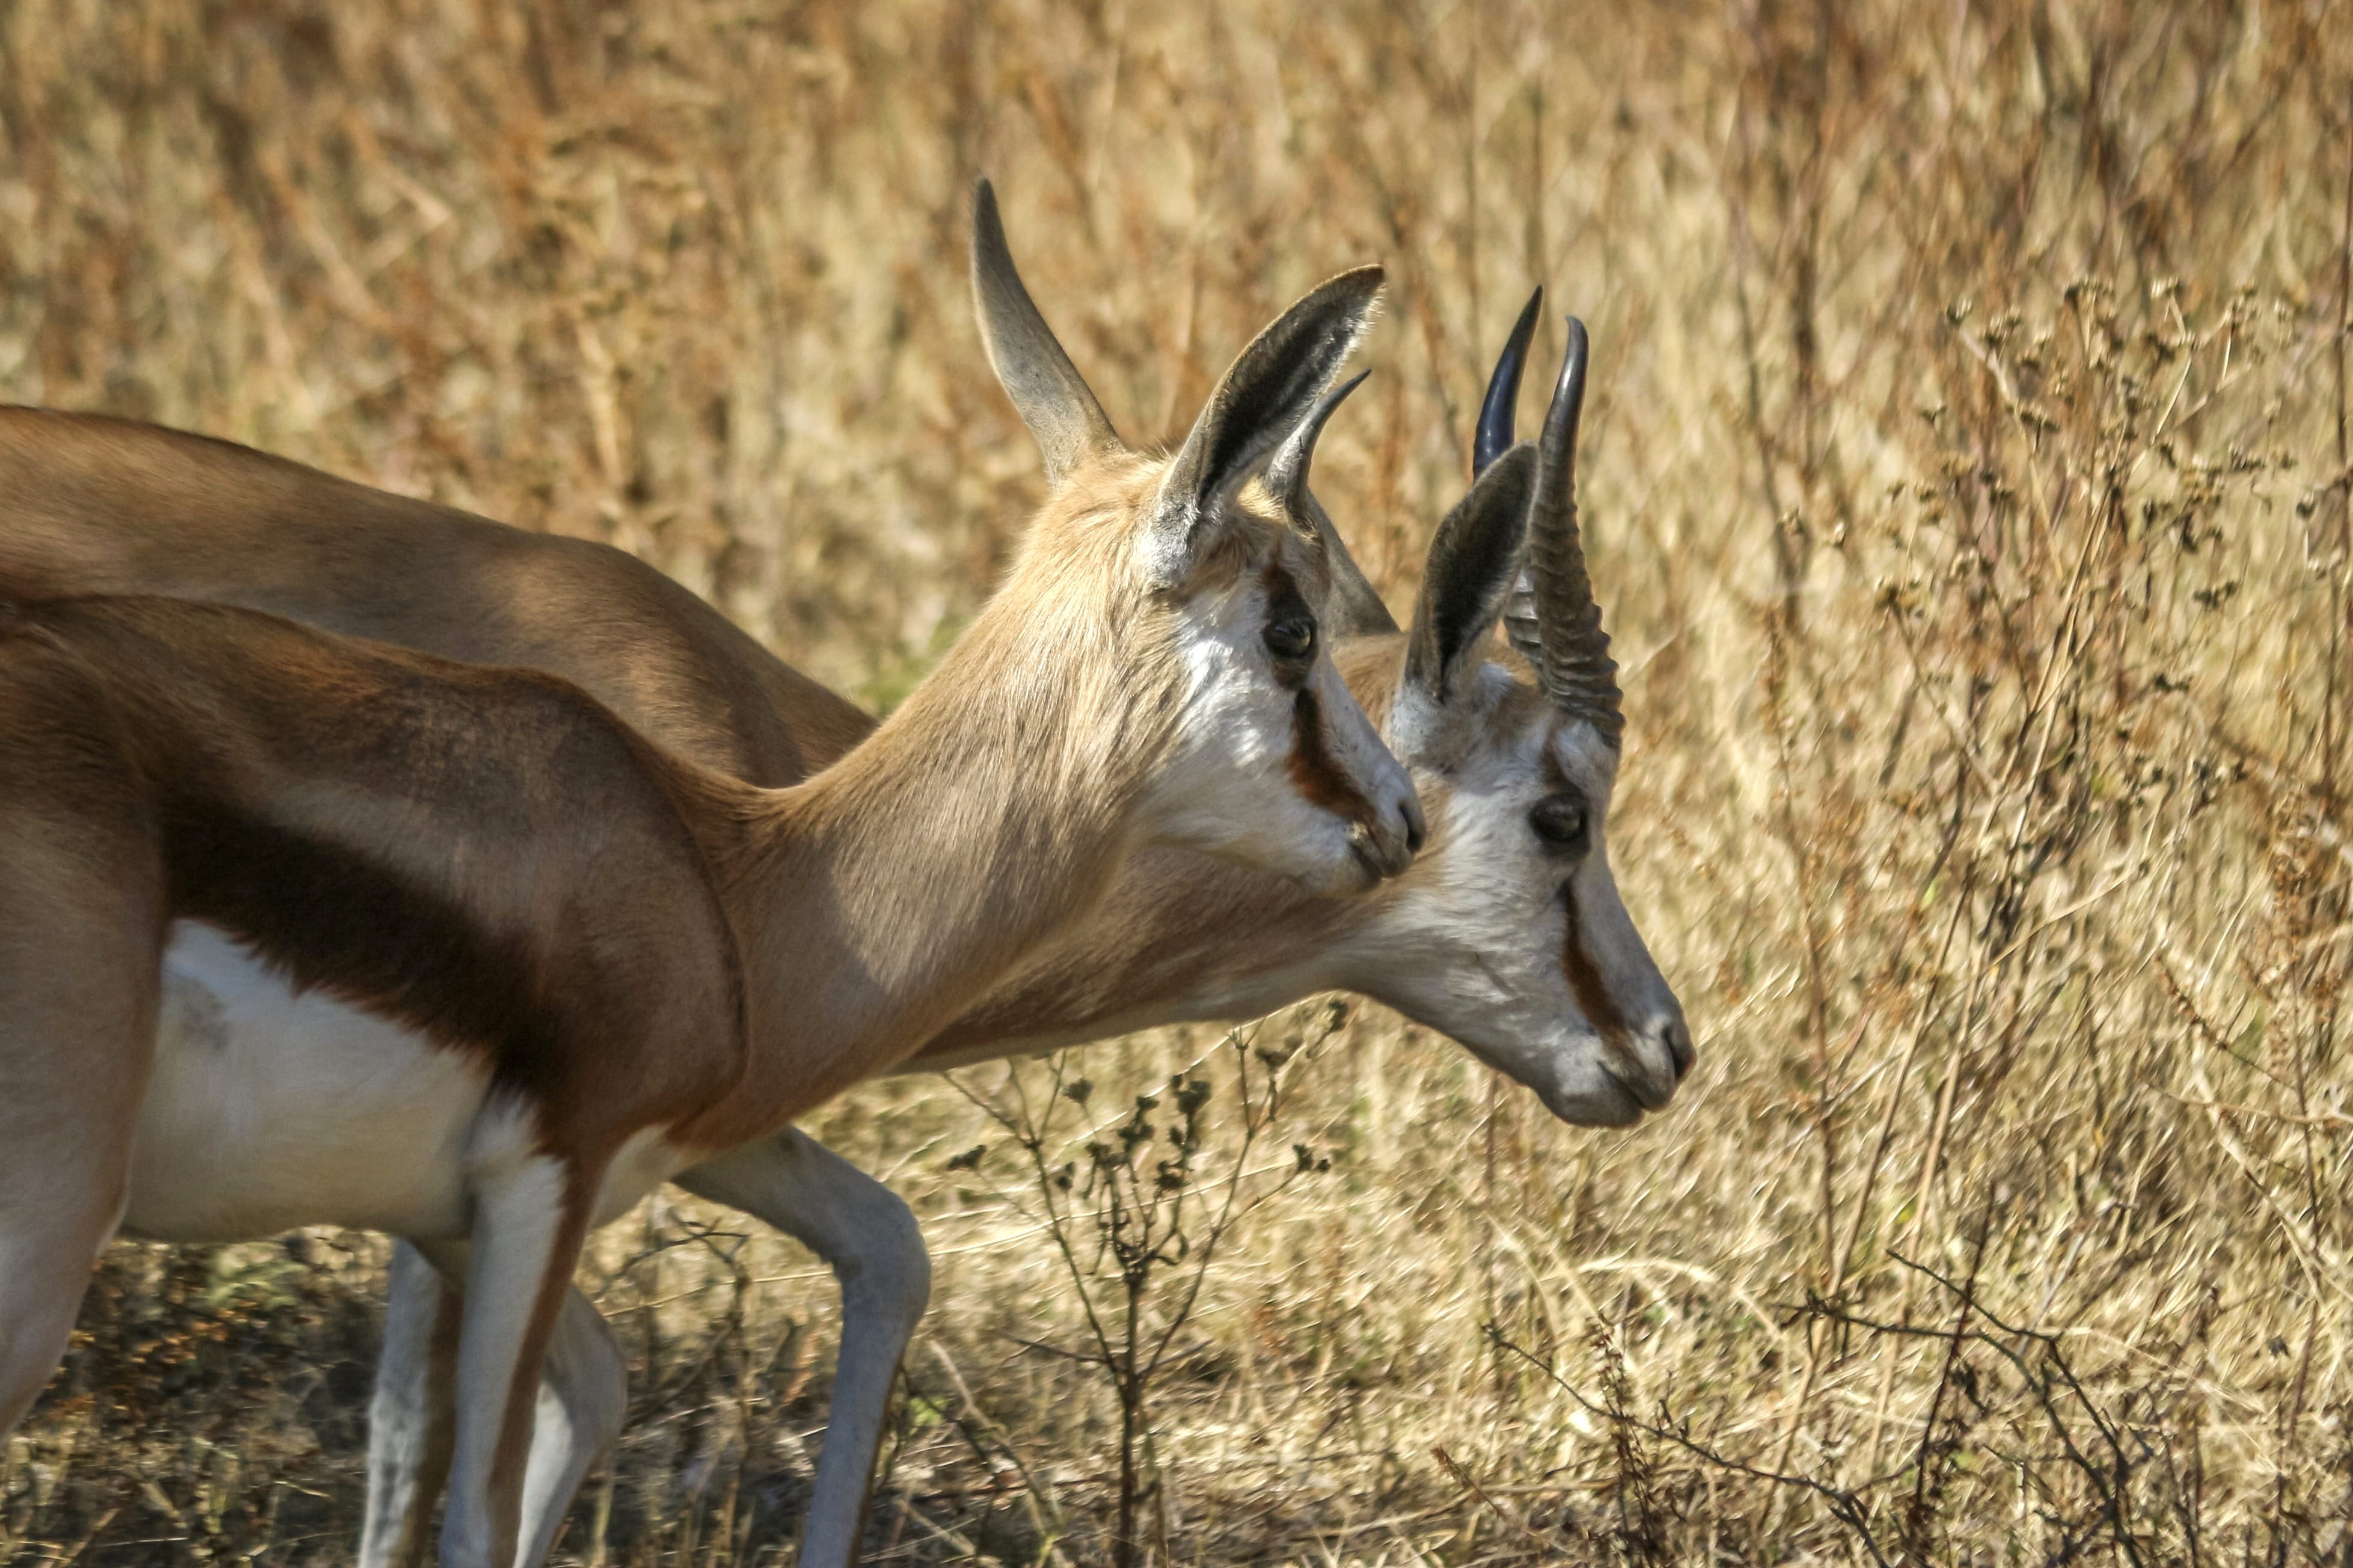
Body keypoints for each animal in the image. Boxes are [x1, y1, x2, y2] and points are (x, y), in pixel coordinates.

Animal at [0, 182, 1687, 1565]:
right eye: (1564, 810)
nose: (1661, 1043)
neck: (747, 844)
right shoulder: (527, 1179)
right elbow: (438, 1447)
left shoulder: (657, 1151)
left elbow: (868, 1256)